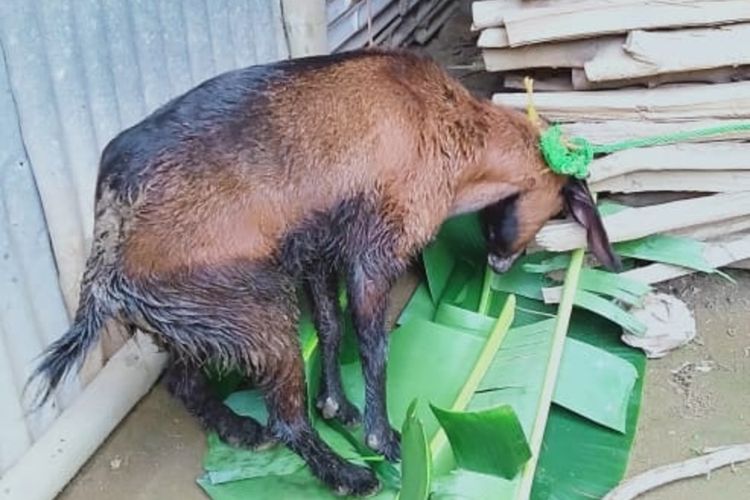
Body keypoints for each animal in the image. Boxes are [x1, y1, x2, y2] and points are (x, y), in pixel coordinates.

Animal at [27, 47, 616, 496]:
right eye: (561, 207)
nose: (500, 262)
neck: (445, 122)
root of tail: (107, 247)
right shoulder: (376, 249)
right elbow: (373, 344)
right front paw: (383, 438)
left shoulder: (317, 250)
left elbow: (332, 327)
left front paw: (338, 405)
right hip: (252, 309)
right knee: (285, 416)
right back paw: (347, 474)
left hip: (192, 318)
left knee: (183, 380)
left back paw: (239, 428)